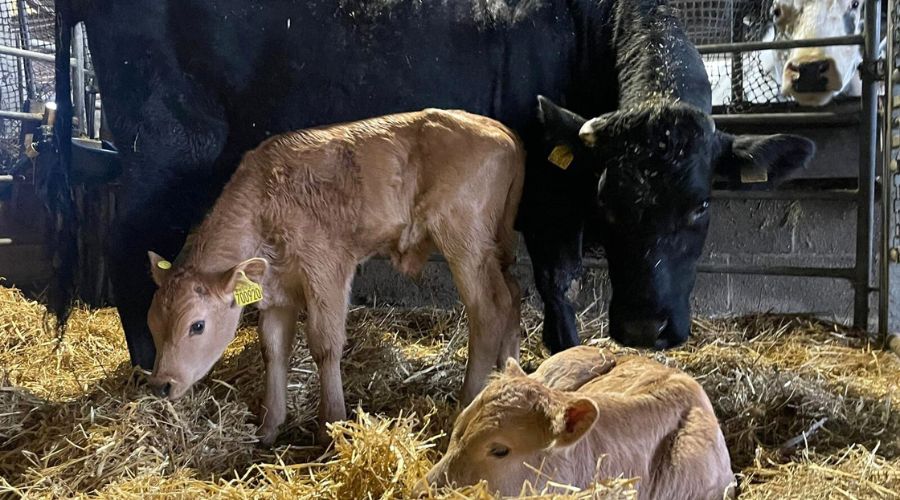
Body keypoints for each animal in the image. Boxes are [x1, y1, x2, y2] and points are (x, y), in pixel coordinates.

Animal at [49, 0, 816, 370]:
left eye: (701, 206)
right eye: (608, 202)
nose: (643, 328)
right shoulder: (549, 198)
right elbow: (558, 277)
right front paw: (565, 350)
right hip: (166, 147)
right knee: (125, 240)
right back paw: (147, 359)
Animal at [144, 109, 524, 444]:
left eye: (197, 325)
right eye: (152, 324)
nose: (161, 384)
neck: (268, 199)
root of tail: (498, 129)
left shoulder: (326, 269)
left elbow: (325, 345)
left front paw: (332, 425)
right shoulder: (277, 292)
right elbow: (273, 349)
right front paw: (269, 427)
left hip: (464, 242)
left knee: (487, 309)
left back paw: (468, 400)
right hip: (497, 247)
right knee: (512, 294)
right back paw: (510, 375)